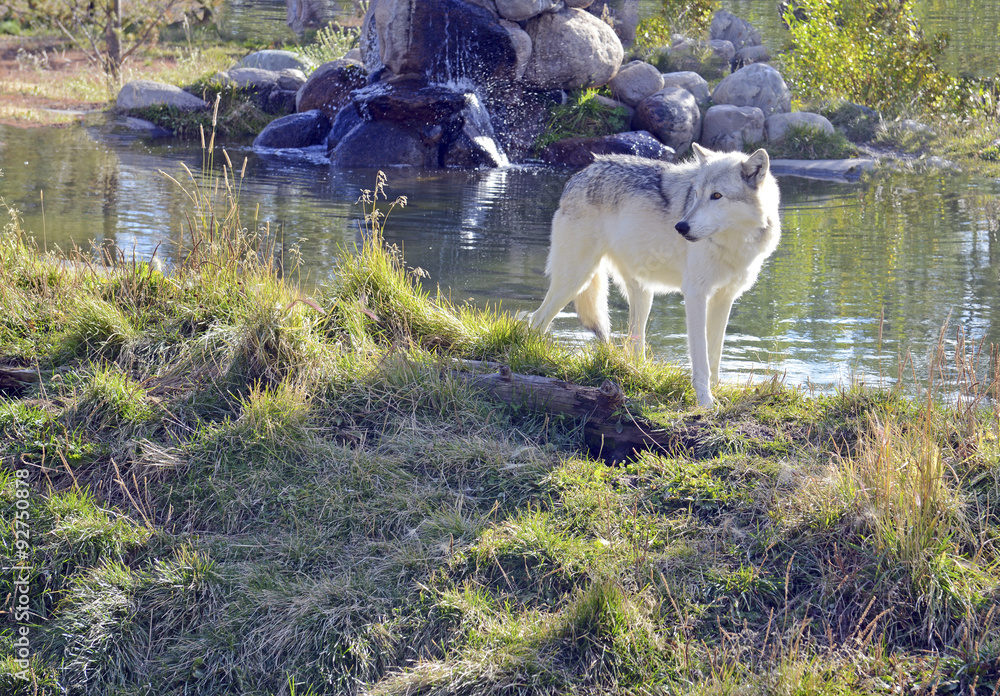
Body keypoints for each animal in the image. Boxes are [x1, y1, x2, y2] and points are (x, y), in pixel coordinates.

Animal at [528, 143, 781, 407]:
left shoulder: (725, 297)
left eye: (717, 196)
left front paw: (717, 395)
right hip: (576, 279)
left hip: (641, 294)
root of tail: (582, 173)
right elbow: (701, 357)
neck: (734, 243)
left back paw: (637, 377)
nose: (681, 227)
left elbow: (714, 355)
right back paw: (535, 364)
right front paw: (706, 402)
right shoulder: (695, 294)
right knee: (536, 320)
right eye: (696, 193)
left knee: (633, 346)